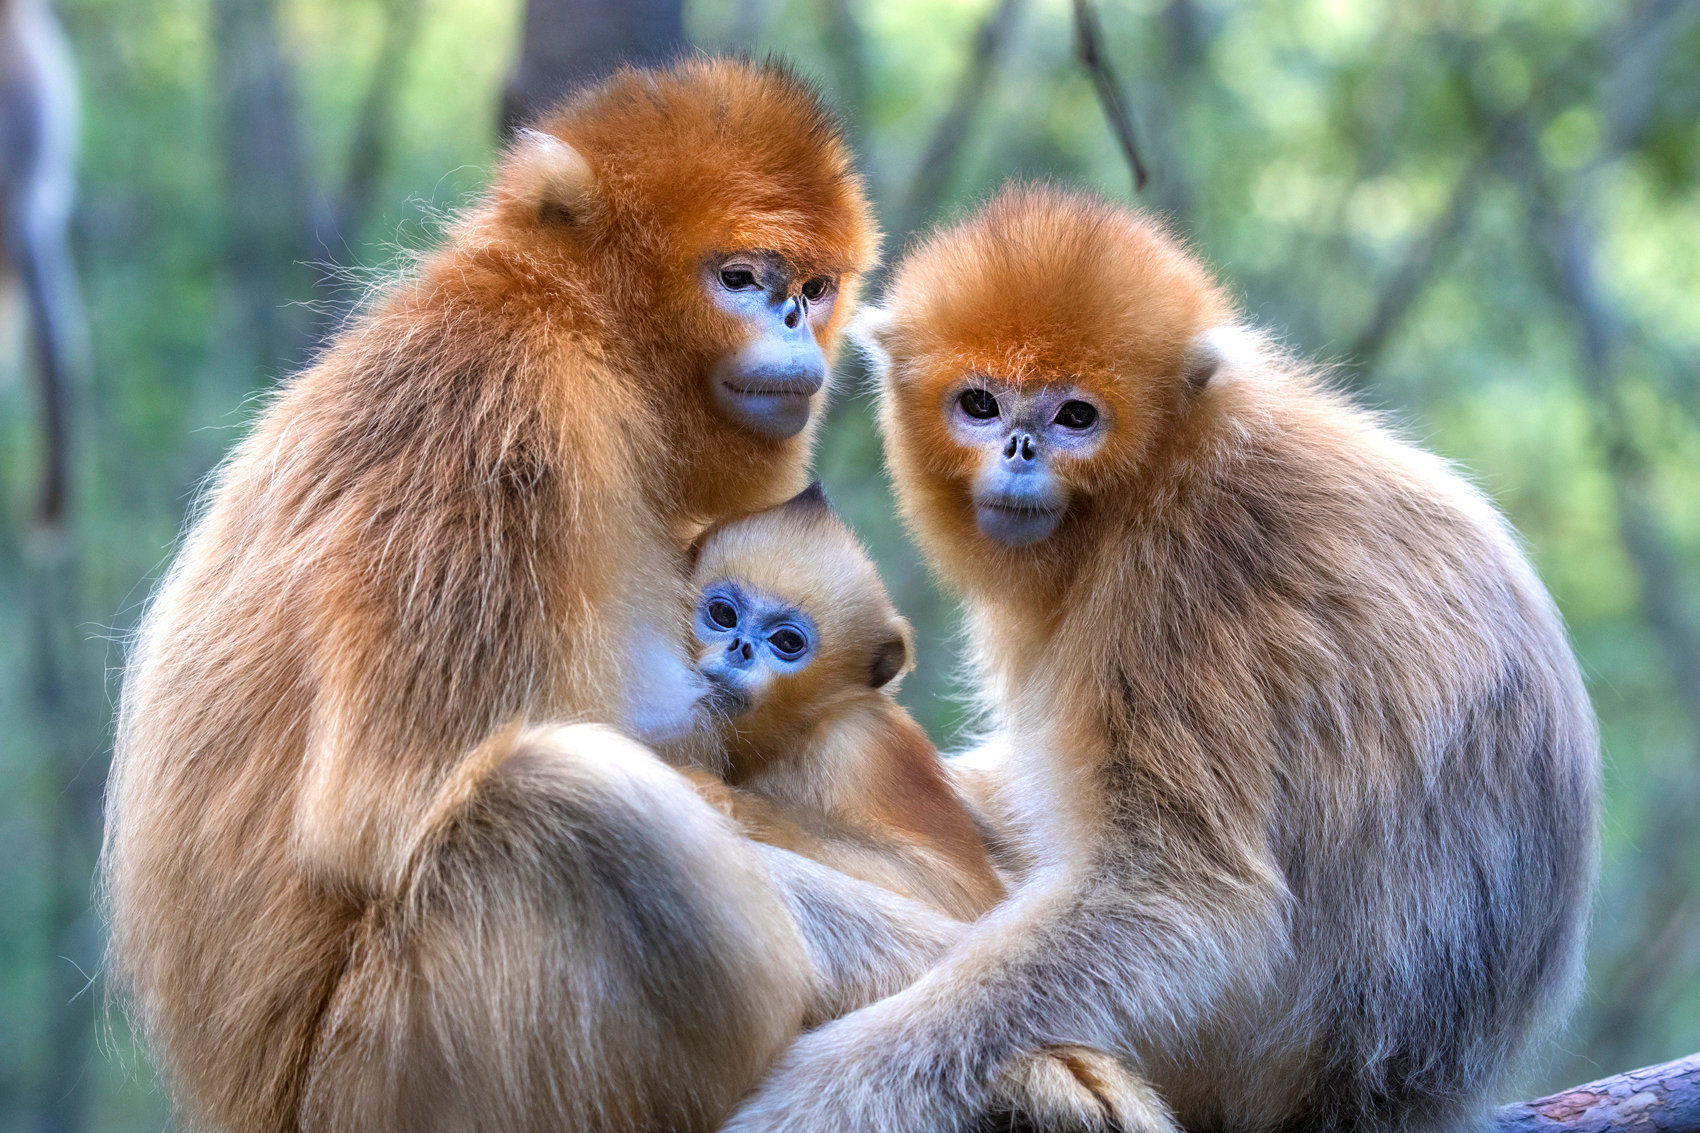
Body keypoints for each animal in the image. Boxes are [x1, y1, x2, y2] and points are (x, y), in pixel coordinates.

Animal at [724, 181, 1598, 1122]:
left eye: (1075, 416)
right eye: (981, 404)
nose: (1020, 451)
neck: (1163, 474)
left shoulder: (1178, 581)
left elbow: (1180, 896)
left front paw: (810, 1099)